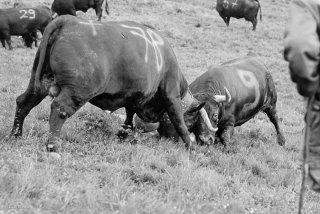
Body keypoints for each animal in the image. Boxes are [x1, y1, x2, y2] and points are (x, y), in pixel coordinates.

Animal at [10, 14, 216, 155]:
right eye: (196, 117)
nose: (209, 139)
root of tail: (69, 20)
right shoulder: (171, 94)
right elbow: (179, 121)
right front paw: (190, 146)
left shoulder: (134, 96)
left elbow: (128, 117)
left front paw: (124, 134)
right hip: (77, 91)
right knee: (59, 109)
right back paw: (53, 145)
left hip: (39, 83)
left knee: (23, 102)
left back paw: (15, 134)